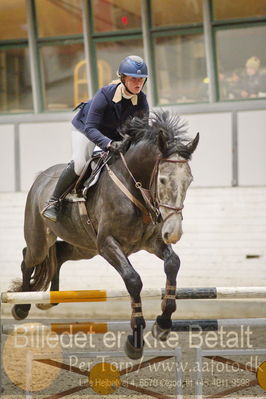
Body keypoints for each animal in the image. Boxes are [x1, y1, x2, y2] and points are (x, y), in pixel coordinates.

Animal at [11, 111, 198, 360]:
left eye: (189, 180)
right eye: (163, 180)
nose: (174, 232)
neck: (133, 184)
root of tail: (40, 178)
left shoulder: (153, 242)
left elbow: (173, 264)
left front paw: (163, 324)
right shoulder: (108, 244)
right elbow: (133, 280)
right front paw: (135, 340)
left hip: (84, 247)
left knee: (59, 254)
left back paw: (52, 298)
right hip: (41, 241)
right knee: (27, 259)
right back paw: (21, 306)